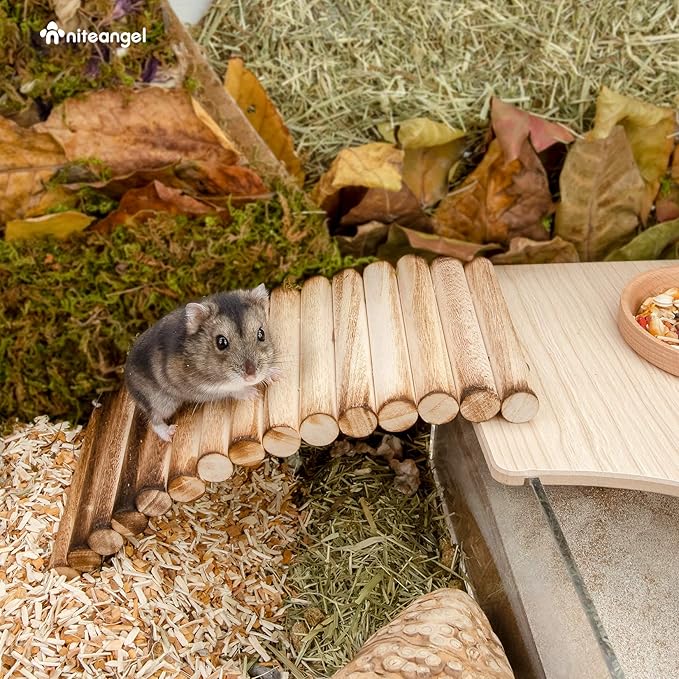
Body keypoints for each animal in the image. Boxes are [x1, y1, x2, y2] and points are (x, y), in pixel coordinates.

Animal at [124, 284, 280, 441]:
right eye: (221, 342)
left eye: (261, 334)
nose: (251, 376)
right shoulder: (202, 386)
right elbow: (231, 388)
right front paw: (253, 393)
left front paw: (274, 376)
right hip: (160, 401)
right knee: (153, 418)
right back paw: (169, 434)